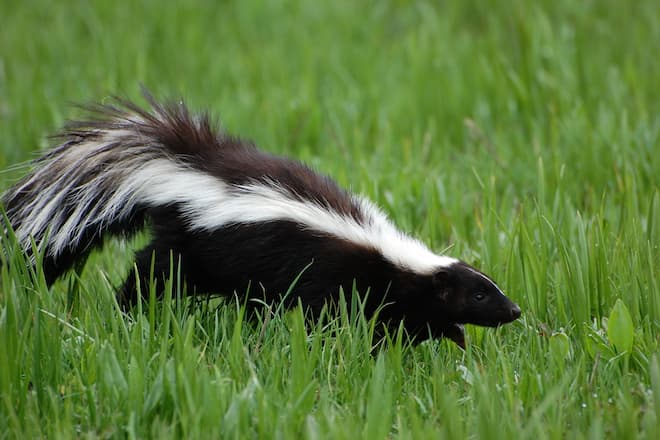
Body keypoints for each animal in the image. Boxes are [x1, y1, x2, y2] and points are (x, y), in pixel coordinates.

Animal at [3, 93, 520, 348]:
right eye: (481, 294)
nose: (515, 310)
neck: (394, 257)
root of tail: (186, 166)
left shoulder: (397, 294)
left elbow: (408, 321)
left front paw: (453, 339)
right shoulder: (339, 277)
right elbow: (343, 318)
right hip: (196, 244)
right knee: (153, 271)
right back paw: (128, 309)